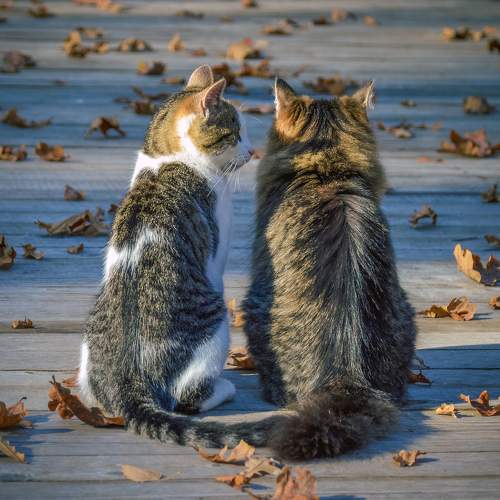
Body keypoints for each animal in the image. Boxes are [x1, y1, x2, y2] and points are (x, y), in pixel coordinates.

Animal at [78, 65, 275, 448]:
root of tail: (130, 383)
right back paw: (223, 388)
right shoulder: (216, 256)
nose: (252, 151)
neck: (167, 159)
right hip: (216, 324)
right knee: (187, 400)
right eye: (235, 133)